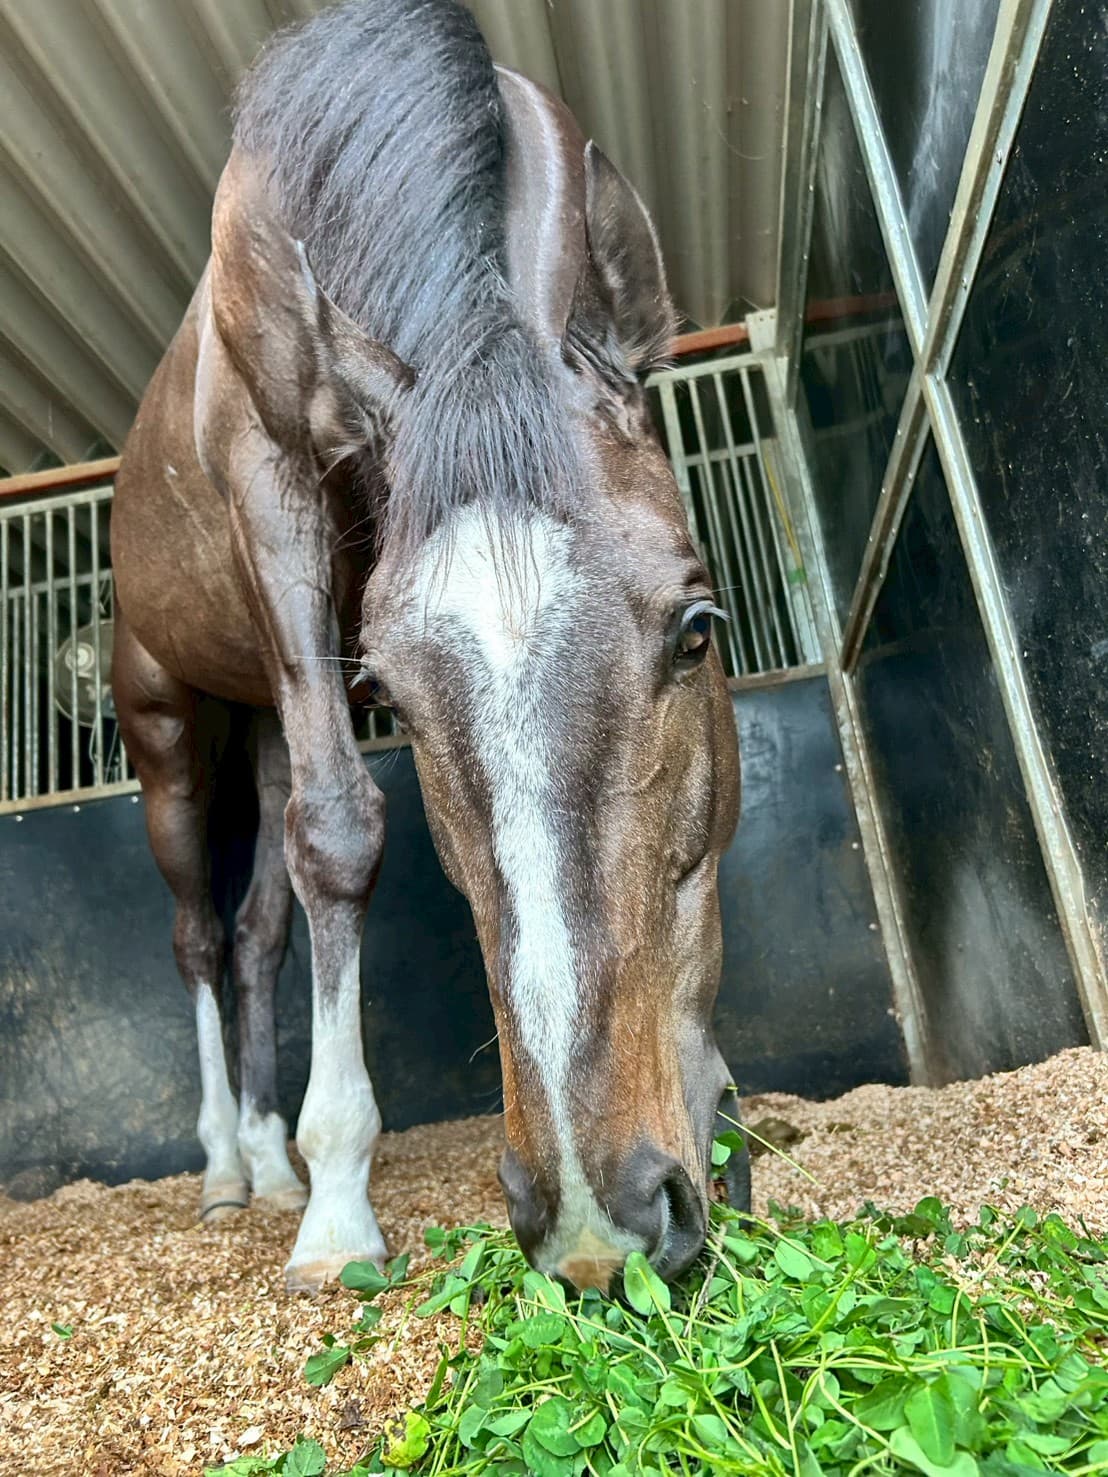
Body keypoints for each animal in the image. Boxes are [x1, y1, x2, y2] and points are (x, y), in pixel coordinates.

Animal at [110, 0, 749, 1296]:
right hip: (165, 735)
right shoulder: (273, 496)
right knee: (200, 931)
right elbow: (341, 833)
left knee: (255, 935)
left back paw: (267, 1160)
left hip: (260, 716)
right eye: (391, 698)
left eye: (696, 631)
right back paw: (229, 1172)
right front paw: (337, 1216)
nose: (603, 1224)